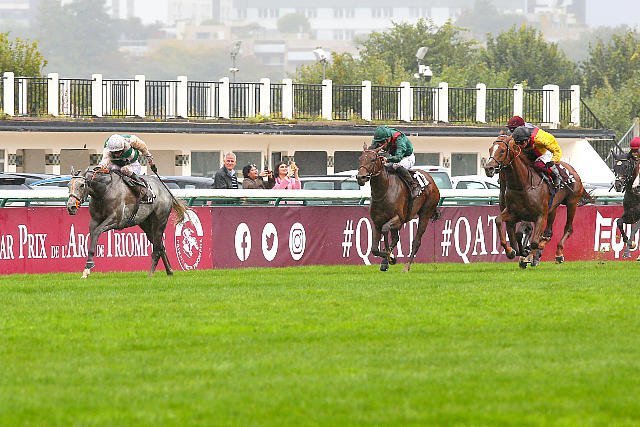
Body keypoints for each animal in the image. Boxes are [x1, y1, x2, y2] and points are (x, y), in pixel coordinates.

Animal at [483, 134, 591, 266]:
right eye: (490, 149)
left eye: (502, 150)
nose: (488, 168)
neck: (523, 185)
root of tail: (573, 170)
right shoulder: (514, 214)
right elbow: (499, 221)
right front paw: (511, 251)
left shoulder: (540, 215)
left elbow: (533, 241)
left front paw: (528, 253)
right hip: (552, 208)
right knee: (548, 232)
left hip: (572, 203)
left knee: (568, 228)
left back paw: (558, 254)